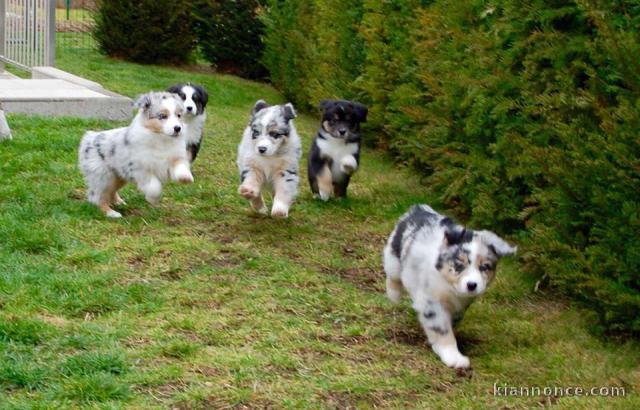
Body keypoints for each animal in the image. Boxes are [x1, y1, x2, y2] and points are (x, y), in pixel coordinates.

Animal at [78, 91, 192, 219]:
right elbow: (154, 186)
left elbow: (181, 166)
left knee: (111, 190)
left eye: (179, 115)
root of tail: (89, 137)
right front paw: (153, 199)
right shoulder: (140, 168)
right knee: (97, 196)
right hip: (102, 176)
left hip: (118, 176)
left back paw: (119, 202)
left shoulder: (175, 156)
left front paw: (185, 178)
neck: (161, 138)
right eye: (163, 116)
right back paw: (111, 213)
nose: (178, 128)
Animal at [382, 205, 516, 368]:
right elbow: (443, 329)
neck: (449, 286)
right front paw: (453, 357)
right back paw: (394, 296)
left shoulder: (460, 307)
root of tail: (419, 208)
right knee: (393, 277)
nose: (472, 285)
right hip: (393, 258)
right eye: (459, 265)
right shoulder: (432, 301)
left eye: (484, 267)